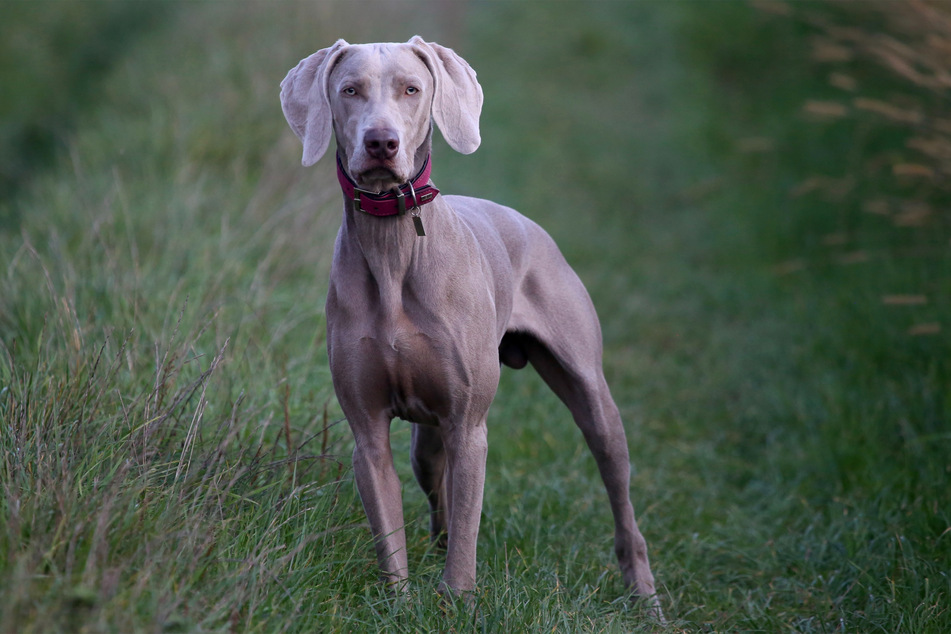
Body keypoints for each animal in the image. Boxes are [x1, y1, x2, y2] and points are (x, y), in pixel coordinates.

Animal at [278, 35, 660, 612]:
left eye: (412, 89)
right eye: (349, 90)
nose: (382, 143)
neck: (394, 246)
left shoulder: (468, 425)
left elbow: (468, 525)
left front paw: (457, 598)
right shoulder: (369, 432)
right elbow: (390, 527)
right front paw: (401, 603)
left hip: (592, 398)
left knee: (617, 490)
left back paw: (642, 590)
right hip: (427, 442)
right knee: (438, 492)